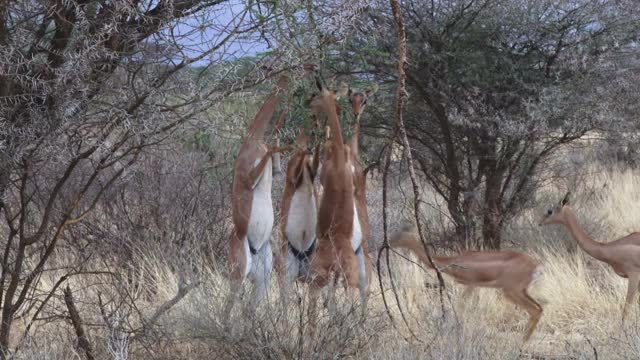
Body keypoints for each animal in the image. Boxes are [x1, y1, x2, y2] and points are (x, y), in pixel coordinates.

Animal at [225, 74, 292, 320]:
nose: (312, 68)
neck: (253, 139)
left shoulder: (275, 172)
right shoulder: (248, 178)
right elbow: (271, 149)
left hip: (262, 278)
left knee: (249, 310)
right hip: (239, 273)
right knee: (227, 308)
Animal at [388, 226, 544, 342]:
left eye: (398, 235)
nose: (386, 243)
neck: (455, 261)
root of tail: (535, 264)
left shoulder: (471, 285)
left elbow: (461, 305)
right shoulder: (471, 287)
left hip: (511, 291)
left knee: (535, 310)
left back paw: (521, 343)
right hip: (522, 290)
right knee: (539, 308)